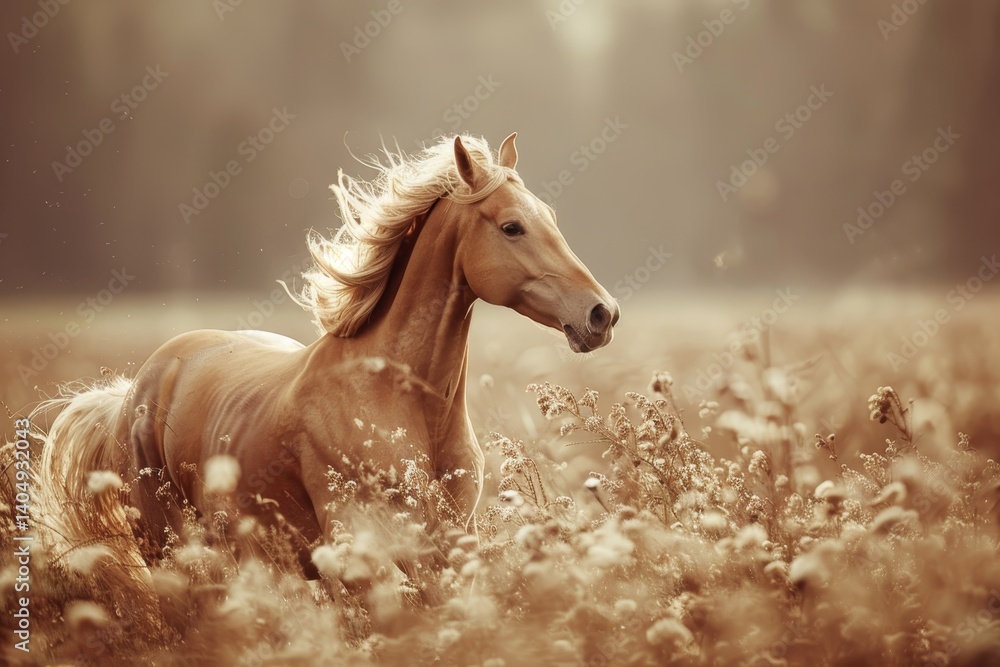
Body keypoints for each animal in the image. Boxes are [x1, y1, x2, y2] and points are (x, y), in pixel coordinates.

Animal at [34, 132, 620, 586]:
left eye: (550, 216)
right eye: (511, 226)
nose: (602, 314)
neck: (401, 407)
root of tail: (135, 389)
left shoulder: (451, 549)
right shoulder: (366, 556)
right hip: (169, 551)